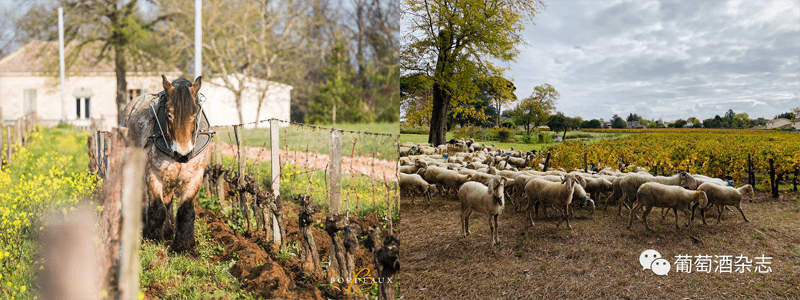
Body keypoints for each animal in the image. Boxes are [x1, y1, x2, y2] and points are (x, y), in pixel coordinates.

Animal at [121, 75, 214, 253]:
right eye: (169, 115)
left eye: (194, 115)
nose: (183, 154)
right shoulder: (152, 174)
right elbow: (157, 208)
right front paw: (153, 239)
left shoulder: (195, 176)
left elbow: (186, 211)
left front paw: (184, 246)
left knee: (168, 201)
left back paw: (168, 231)